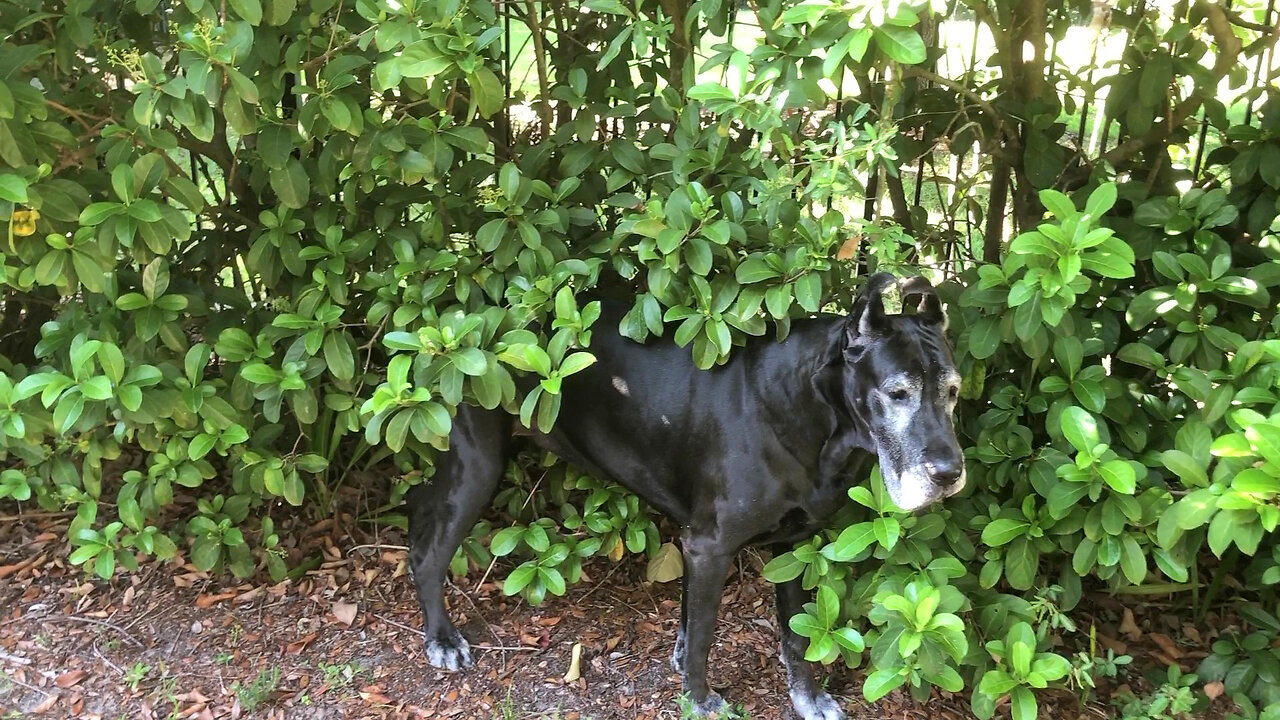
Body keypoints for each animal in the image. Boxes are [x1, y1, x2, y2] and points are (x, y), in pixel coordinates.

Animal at [407, 271, 962, 712]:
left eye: (953, 391)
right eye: (897, 393)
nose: (949, 472)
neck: (810, 408)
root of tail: (474, 311)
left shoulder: (790, 547)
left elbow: (793, 635)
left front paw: (807, 699)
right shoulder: (710, 545)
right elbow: (704, 637)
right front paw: (698, 700)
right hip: (477, 465)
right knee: (429, 554)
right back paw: (442, 639)